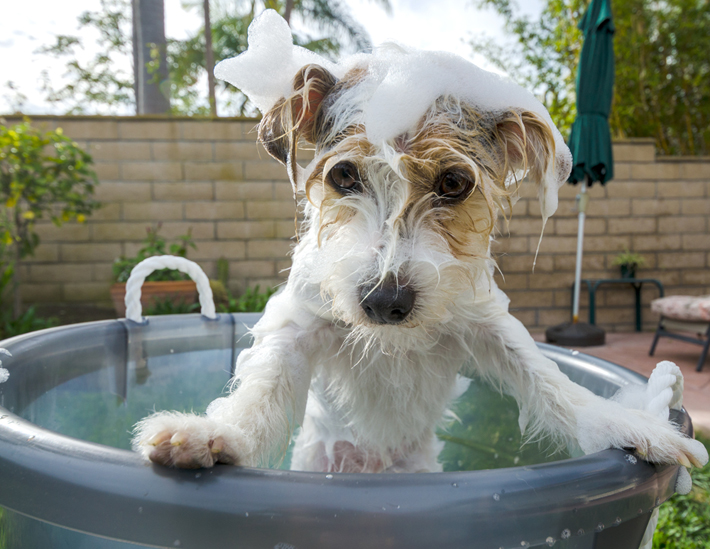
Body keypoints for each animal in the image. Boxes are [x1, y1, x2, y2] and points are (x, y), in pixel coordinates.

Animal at [132, 10, 708, 478]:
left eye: (454, 183)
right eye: (343, 175)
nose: (385, 301)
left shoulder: (486, 325)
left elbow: (550, 382)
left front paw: (627, 424)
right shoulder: (301, 322)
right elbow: (263, 386)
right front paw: (218, 435)